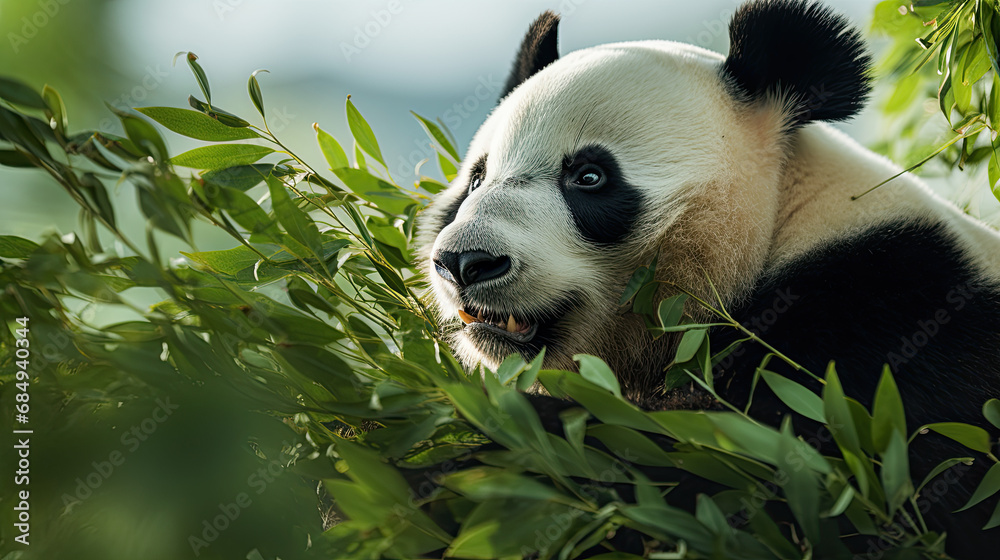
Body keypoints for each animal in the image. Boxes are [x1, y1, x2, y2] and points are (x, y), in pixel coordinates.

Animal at [417, 0, 1000, 556]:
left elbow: (733, 470)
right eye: (477, 179)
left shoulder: (884, 327)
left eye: (590, 176)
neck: (783, 221)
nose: (466, 262)